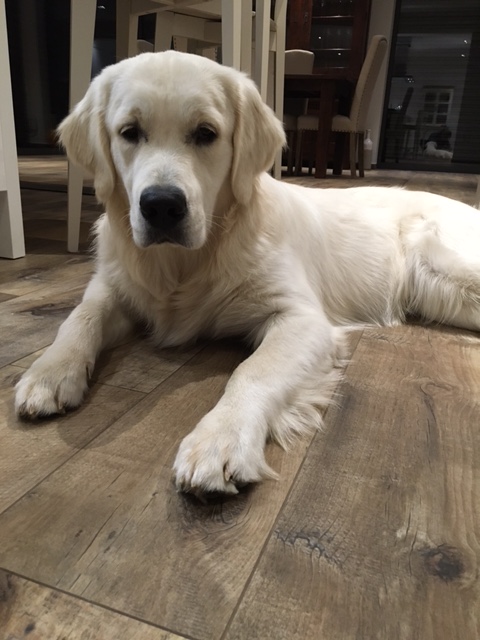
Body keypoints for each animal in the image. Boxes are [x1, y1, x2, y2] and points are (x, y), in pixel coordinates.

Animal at [15, 51, 480, 495]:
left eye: (206, 133)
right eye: (129, 132)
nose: (161, 206)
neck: (186, 263)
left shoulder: (300, 318)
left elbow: (252, 371)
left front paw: (219, 440)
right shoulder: (113, 285)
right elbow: (80, 317)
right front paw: (49, 372)